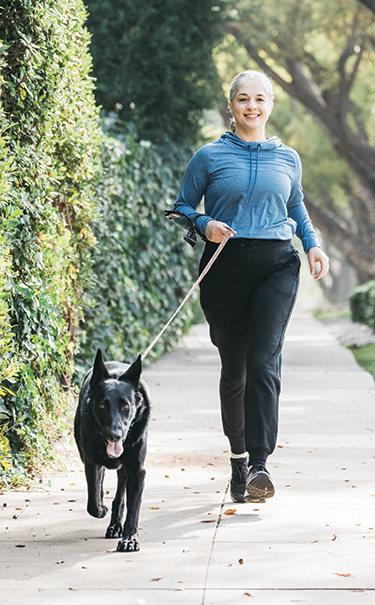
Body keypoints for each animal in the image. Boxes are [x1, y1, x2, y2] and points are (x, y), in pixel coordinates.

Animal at [74, 346, 151, 548]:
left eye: (126, 406)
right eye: (102, 405)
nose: (114, 435)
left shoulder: (137, 470)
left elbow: (133, 507)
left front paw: (129, 539)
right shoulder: (91, 462)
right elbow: (93, 500)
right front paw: (101, 508)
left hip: (125, 469)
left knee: (120, 497)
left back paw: (116, 526)